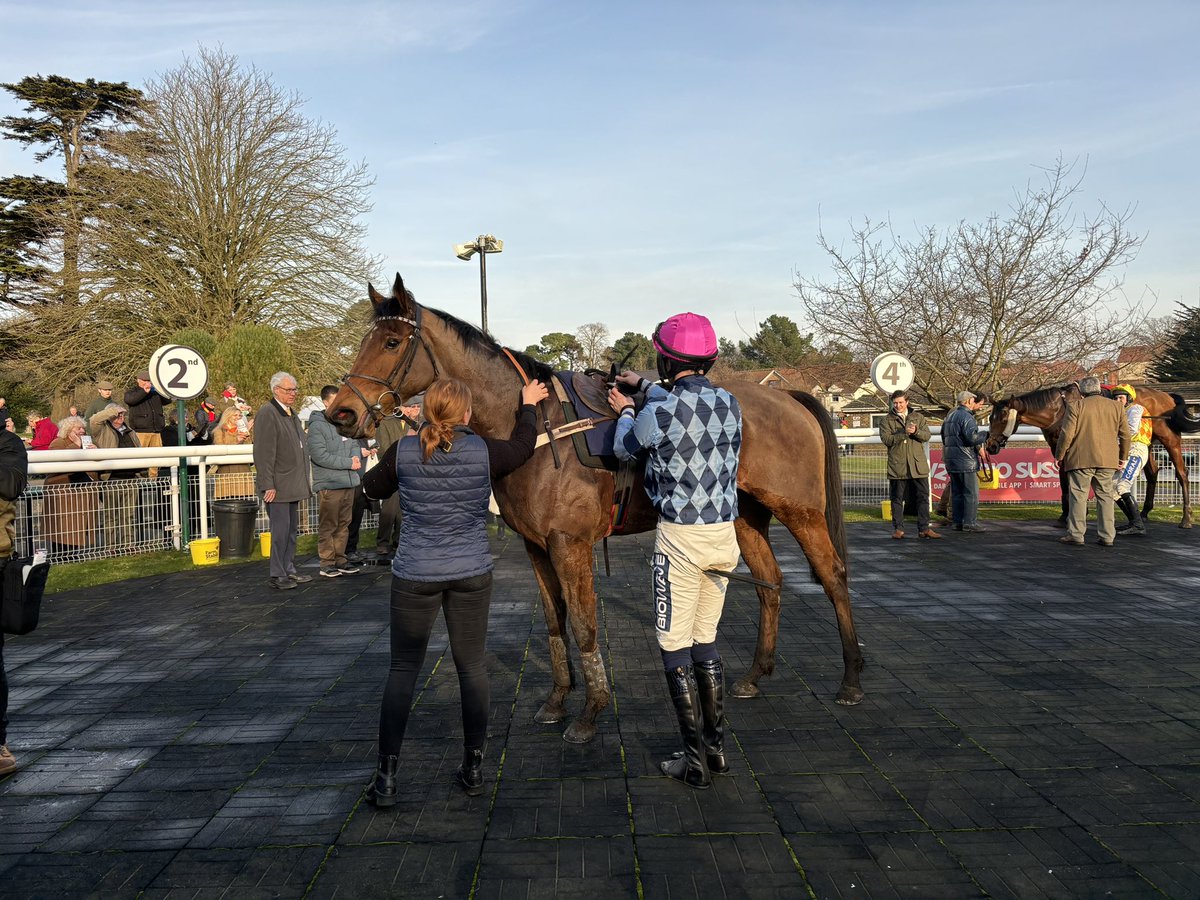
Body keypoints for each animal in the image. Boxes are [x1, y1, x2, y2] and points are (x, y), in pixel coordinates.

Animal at [333, 274, 868, 748]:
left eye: (392, 341)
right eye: (366, 339)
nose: (342, 412)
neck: (533, 427)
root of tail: (786, 396)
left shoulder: (570, 546)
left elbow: (585, 626)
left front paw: (590, 712)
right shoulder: (537, 547)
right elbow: (555, 622)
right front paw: (557, 700)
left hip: (801, 511)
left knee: (833, 576)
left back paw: (851, 679)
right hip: (743, 516)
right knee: (770, 583)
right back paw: (756, 674)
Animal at [984, 381, 1200, 528]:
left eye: (1002, 418)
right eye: (990, 418)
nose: (990, 446)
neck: (1058, 409)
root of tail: (1167, 396)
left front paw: (1073, 513)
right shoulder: (1058, 447)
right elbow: (1064, 480)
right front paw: (1066, 514)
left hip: (1170, 439)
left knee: (1182, 474)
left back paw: (1186, 517)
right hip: (1144, 442)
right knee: (1152, 472)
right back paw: (1144, 512)